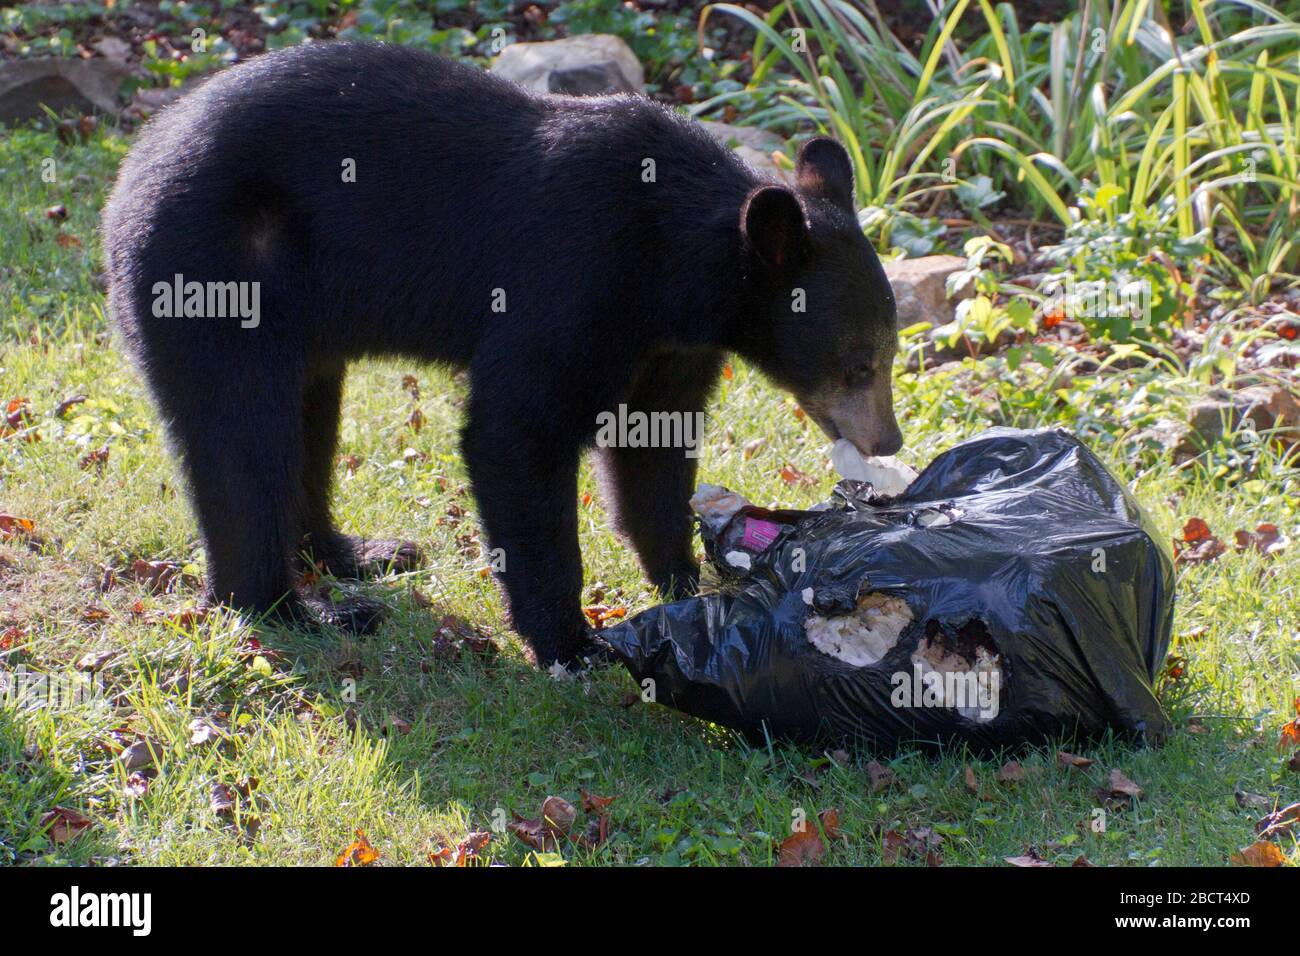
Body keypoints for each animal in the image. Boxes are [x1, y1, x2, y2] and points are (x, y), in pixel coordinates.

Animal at [98, 41, 904, 671]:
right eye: (858, 362)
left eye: (890, 353)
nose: (888, 440)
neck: (679, 267)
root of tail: (126, 181)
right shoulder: (570, 280)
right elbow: (516, 432)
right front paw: (572, 643)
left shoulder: (673, 345)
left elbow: (653, 445)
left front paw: (684, 586)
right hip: (217, 273)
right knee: (242, 436)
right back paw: (303, 611)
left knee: (307, 420)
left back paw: (360, 552)